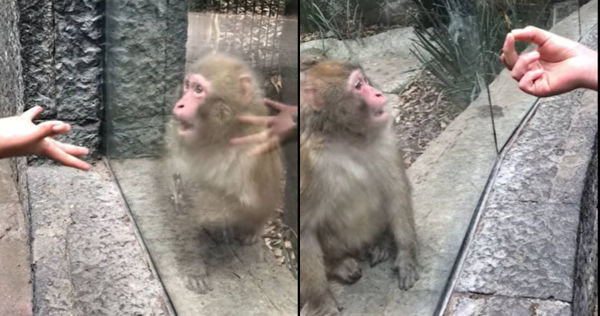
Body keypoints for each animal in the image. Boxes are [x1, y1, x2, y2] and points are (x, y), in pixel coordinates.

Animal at [166, 54, 284, 246]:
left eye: (199, 89)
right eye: (187, 85)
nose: (179, 105)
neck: (226, 134)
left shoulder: (249, 153)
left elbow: (248, 204)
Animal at [298, 60, 418, 314]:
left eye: (364, 81)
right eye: (358, 86)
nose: (378, 93)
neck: (345, 138)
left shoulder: (386, 140)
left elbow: (397, 191)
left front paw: (406, 254)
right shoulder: (307, 163)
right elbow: (304, 228)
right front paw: (322, 301)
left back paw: (380, 242)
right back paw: (337, 265)